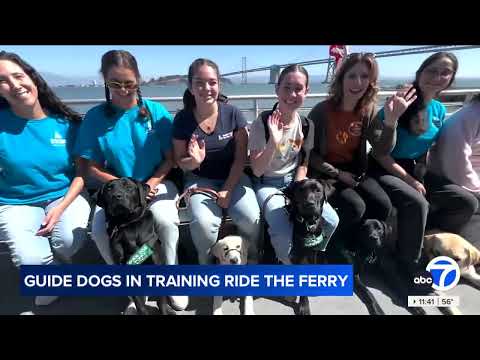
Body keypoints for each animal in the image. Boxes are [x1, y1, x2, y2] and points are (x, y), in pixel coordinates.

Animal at [94, 177, 173, 316]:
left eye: (129, 187)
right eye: (109, 189)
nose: (117, 196)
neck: (127, 224)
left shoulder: (156, 261)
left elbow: (161, 301)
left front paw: (164, 310)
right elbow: (139, 304)